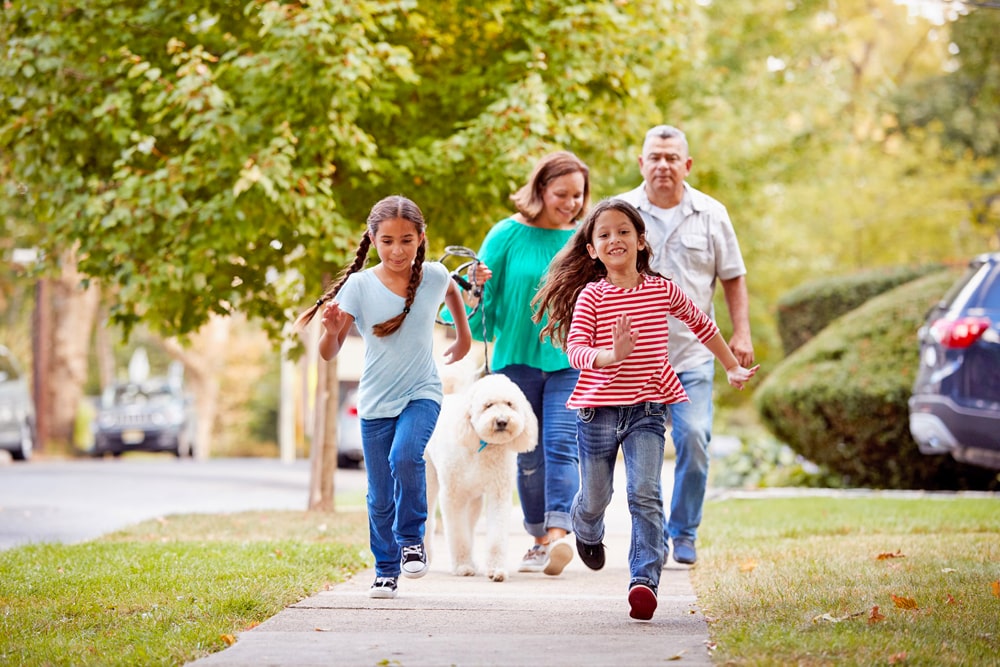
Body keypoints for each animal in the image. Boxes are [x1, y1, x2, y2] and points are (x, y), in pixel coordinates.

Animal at [424, 374, 536, 580]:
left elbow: (496, 535)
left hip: (474, 499)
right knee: (428, 519)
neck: (483, 445)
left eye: (510, 404)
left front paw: (496, 569)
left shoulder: (498, 493)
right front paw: (462, 566)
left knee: (470, 523)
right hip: (428, 478)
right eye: (488, 405)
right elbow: (458, 534)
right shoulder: (453, 496)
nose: (502, 421)